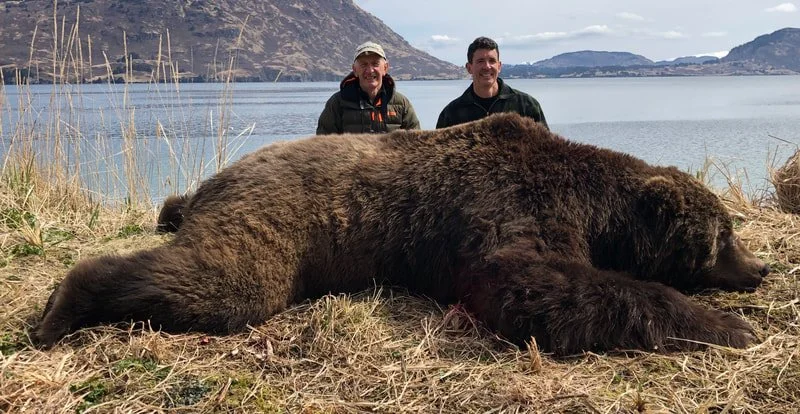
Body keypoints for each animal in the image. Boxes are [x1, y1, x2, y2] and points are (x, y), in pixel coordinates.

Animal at [32, 113, 770, 356]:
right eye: (724, 232)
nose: (761, 268)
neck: (594, 204)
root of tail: (219, 177)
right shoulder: (510, 208)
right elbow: (531, 284)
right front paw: (729, 326)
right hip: (275, 216)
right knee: (223, 282)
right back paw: (60, 309)